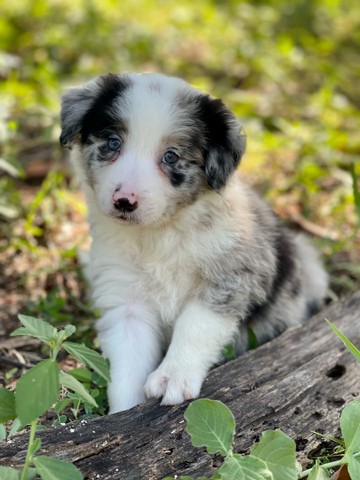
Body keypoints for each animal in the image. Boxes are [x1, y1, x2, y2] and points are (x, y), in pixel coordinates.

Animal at [60, 72, 328, 412]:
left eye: (171, 156)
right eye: (113, 143)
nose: (124, 201)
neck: (161, 233)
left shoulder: (232, 276)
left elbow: (195, 325)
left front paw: (173, 376)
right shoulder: (124, 296)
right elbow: (128, 362)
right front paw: (126, 411)